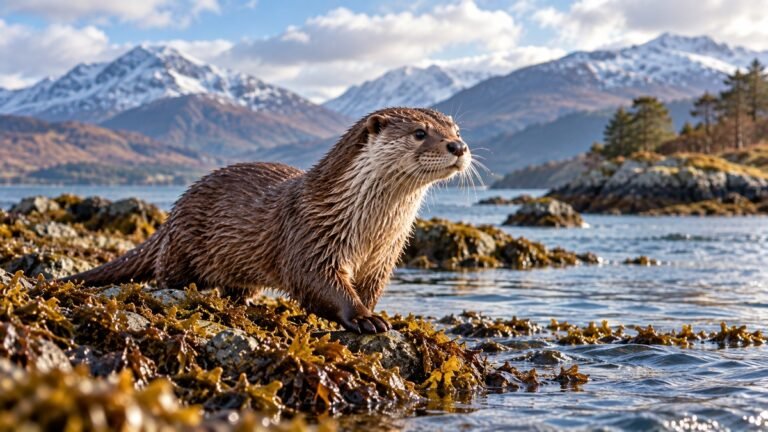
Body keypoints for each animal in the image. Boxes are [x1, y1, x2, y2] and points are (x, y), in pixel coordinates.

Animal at [62, 108, 471, 334]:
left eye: (455, 130)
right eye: (419, 133)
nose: (458, 146)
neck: (366, 228)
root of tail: (174, 210)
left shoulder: (383, 258)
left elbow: (369, 289)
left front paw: (374, 313)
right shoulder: (309, 237)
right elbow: (316, 282)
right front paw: (364, 319)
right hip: (182, 246)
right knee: (167, 276)